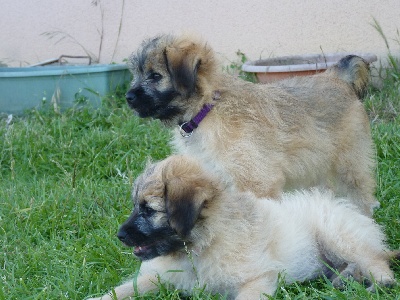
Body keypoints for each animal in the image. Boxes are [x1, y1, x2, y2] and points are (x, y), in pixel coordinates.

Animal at [87, 156, 396, 298]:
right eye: (134, 206)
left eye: (148, 210)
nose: (119, 235)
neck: (198, 248)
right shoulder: (156, 278)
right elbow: (121, 291)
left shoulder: (256, 279)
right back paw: (345, 279)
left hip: (337, 234)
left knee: (375, 259)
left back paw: (378, 283)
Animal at [125, 34, 378, 214]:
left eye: (155, 76)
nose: (128, 97)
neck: (207, 109)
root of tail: (335, 77)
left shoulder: (258, 183)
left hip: (349, 166)